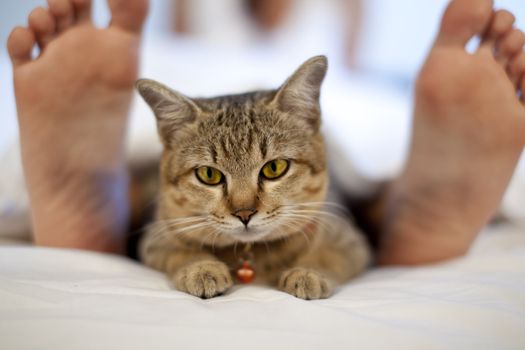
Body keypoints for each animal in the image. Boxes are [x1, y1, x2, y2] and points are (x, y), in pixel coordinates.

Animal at [137, 56, 370, 300]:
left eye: (274, 168)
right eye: (209, 174)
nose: (244, 214)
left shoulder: (349, 240)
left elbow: (326, 255)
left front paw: (308, 273)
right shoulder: (155, 238)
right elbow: (181, 250)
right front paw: (201, 268)